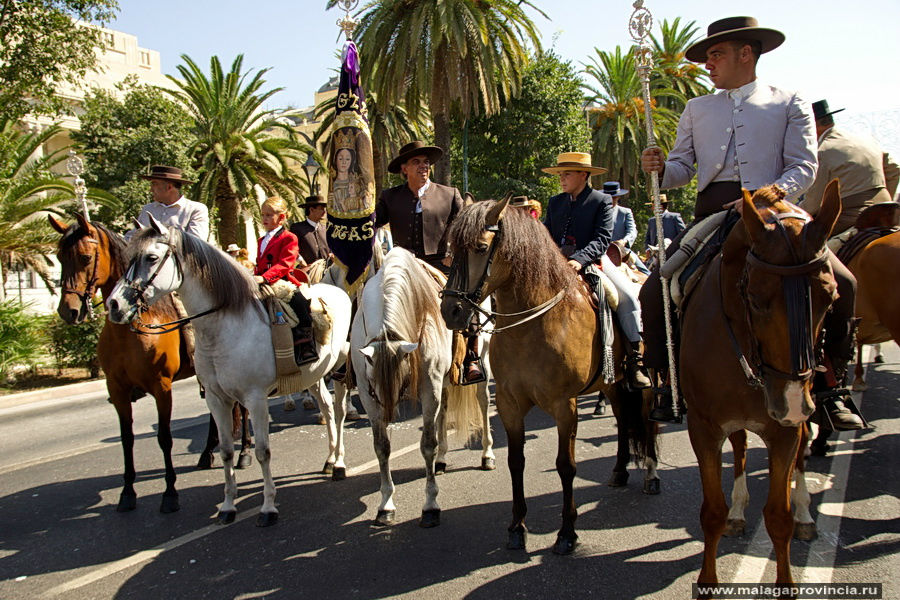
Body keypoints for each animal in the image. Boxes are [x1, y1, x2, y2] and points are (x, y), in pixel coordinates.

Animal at [107, 217, 354, 524]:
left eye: (151, 258)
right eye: (128, 257)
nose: (114, 305)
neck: (225, 326)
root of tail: (338, 290)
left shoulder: (255, 398)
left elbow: (262, 451)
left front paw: (268, 507)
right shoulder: (217, 399)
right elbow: (225, 451)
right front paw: (227, 506)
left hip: (340, 364)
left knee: (340, 411)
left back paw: (340, 462)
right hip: (314, 374)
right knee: (327, 408)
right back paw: (330, 458)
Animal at [352, 246, 492, 528]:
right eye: (374, 388)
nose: (389, 412)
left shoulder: (429, 388)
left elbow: (427, 443)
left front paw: (430, 505)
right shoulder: (367, 395)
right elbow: (382, 447)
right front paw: (385, 505)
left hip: (482, 362)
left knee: (484, 404)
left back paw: (487, 454)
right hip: (444, 381)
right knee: (445, 409)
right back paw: (442, 460)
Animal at [436, 199, 652, 556]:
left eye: (480, 248)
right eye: (452, 249)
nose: (450, 311)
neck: (534, 325)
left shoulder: (565, 406)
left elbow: (566, 465)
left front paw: (567, 532)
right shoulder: (509, 404)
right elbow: (516, 461)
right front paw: (517, 527)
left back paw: (649, 475)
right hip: (612, 383)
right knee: (623, 420)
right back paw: (620, 470)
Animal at [684, 183, 844, 584]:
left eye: (831, 296)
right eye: (755, 299)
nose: (790, 403)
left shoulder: (784, 431)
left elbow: (778, 518)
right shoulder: (704, 427)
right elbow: (712, 512)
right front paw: (707, 583)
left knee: (802, 452)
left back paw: (805, 514)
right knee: (741, 449)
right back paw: (739, 511)